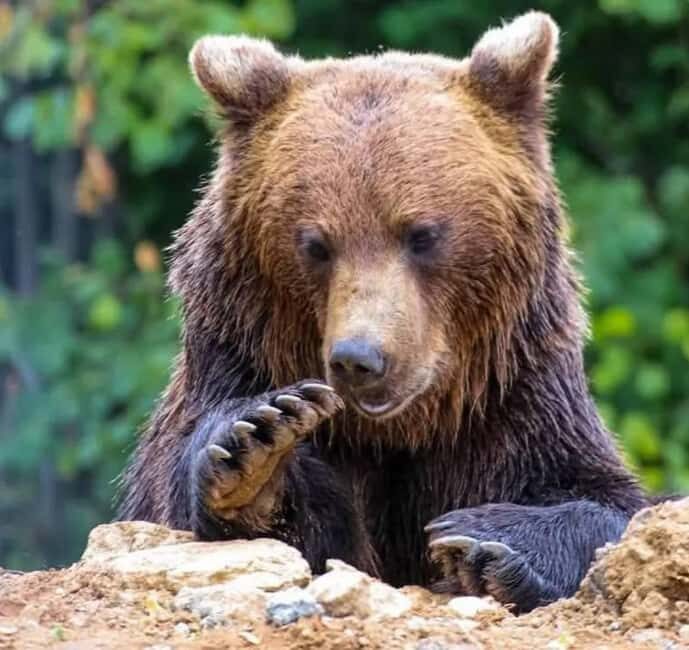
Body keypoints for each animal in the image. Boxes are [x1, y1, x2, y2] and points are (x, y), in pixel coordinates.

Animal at [118, 11, 648, 612]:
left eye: (423, 234)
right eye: (315, 244)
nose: (360, 358)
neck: (395, 432)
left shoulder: (516, 405)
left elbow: (608, 503)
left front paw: (481, 541)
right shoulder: (233, 362)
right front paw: (257, 444)